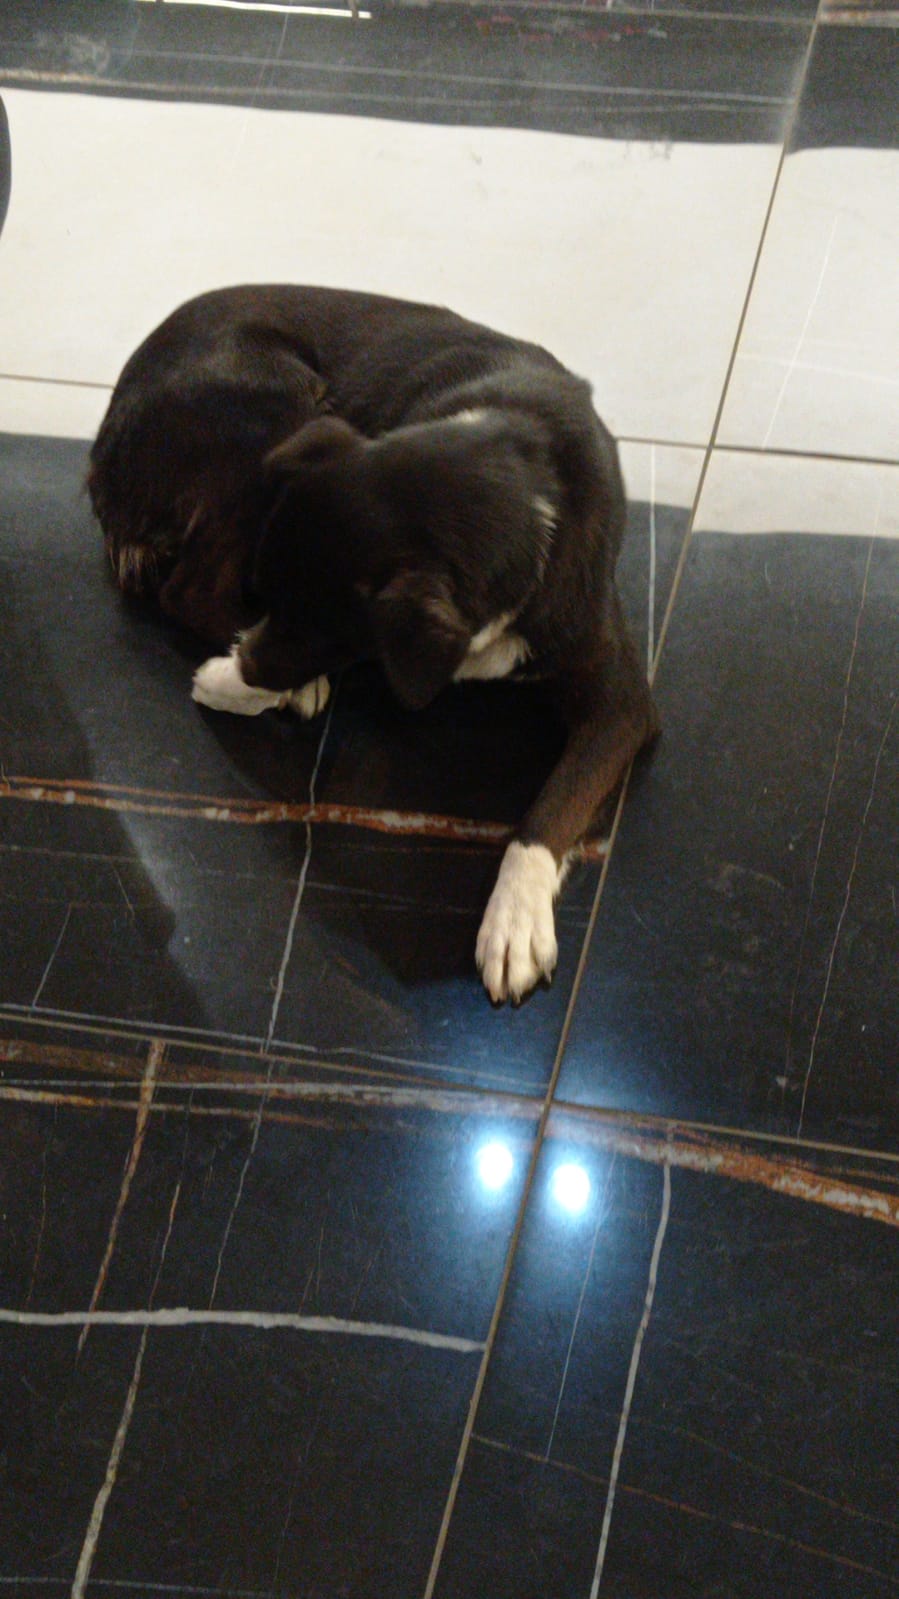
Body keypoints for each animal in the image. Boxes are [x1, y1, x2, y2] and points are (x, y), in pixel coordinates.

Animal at [89, 285, 658, 1003]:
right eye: (273, 597)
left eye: (325, 627)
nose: (251, 664)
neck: (519, 476)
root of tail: (103, 445)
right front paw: (232, 680)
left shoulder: (621, 705)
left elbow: (555, 806)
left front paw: (515, 918)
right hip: (273, 413)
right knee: (187, 588)